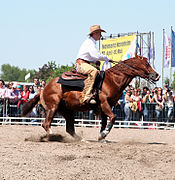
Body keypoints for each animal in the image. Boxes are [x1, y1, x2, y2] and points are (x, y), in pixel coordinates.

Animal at [21, 54, 160, 141]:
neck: (112, 80)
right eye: (146, 64)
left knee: (69, 128)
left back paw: (81, 140)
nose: (157, 75)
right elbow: (113, 118)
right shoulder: (104, 103)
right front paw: (103, 135)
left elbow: (104, 122)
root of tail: (44, 88)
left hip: (67, 111)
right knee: (46, 124)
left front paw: (101, 137)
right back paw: (53, 136)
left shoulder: (105, 106)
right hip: (53, 107)